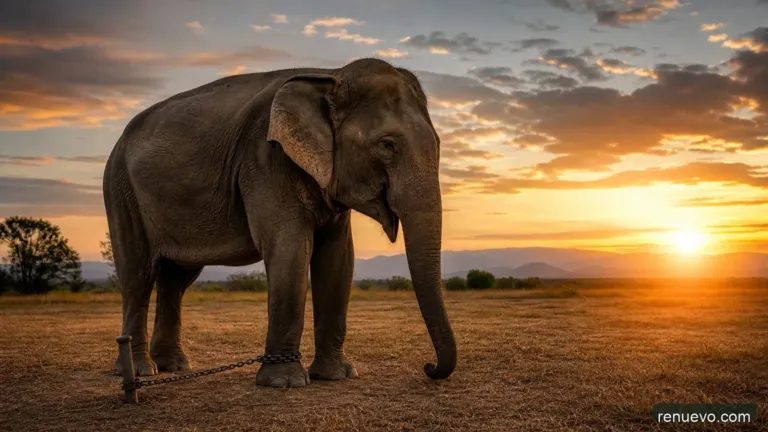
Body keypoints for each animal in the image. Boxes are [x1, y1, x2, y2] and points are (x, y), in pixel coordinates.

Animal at [103, 58, 456, 388]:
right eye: (386, 145)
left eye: (440, 144)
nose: (429, 367)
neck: (331, 75)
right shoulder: (265, 160)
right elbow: (289, 248)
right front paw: (283, 383)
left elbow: (338, 258)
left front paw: (336, 376)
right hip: (120, 191)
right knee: (137, 275)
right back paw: (139, 371)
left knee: (176, 280)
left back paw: (174, 366)